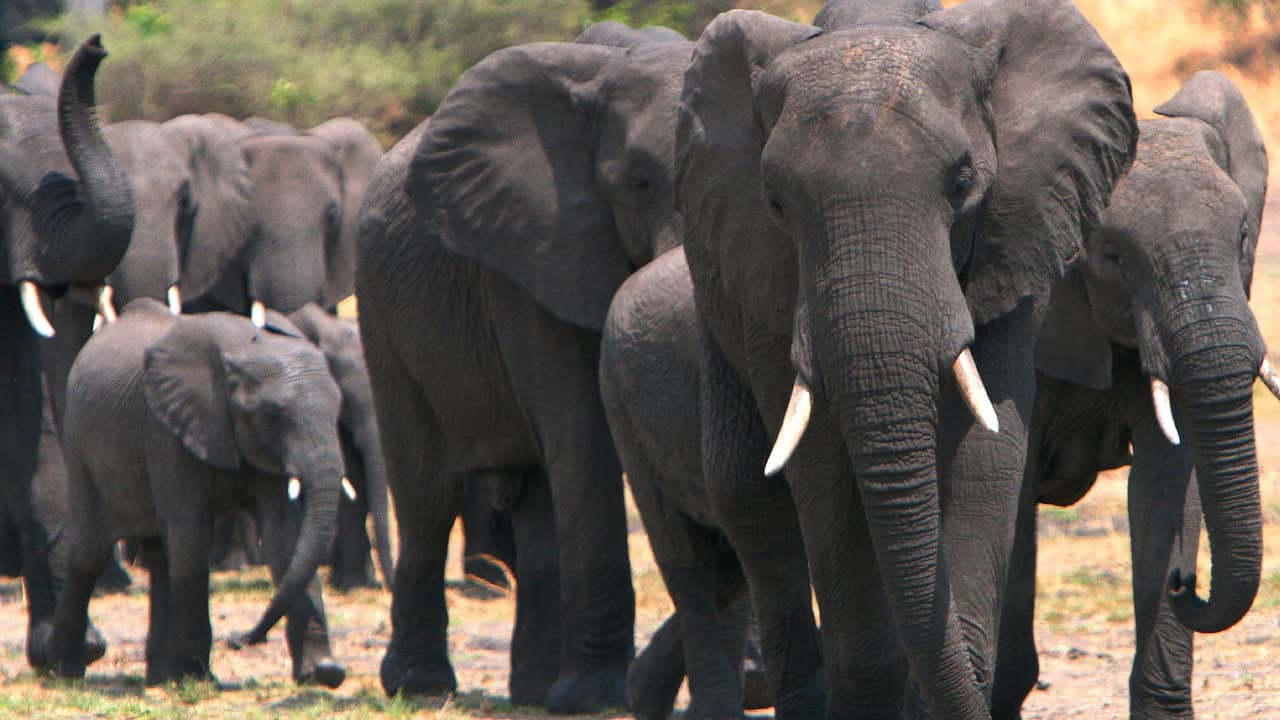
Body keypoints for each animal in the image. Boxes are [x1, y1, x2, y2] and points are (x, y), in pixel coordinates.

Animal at [41, 300, 347, 688]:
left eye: (339, 408)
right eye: (271, 415)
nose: (241, 640)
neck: (245, 349)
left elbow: (285, 540)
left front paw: (324, 673)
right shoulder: (167, 432)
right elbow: (191, 539)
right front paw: (197, 678)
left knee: (159, 557)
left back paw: (159, 678)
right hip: (80, 445)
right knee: (89, 552)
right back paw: (62, 671)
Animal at [356, 23, 692, 712]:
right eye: (640, 182)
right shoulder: (529, 255)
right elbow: (584, 439)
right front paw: (597, 697)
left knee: (537, 503)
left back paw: (536, 691)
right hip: (379, 311)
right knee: (427, 494)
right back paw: (421, 687)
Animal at [674, 2, 1136, 717]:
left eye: (964, 182)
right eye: (775, 201)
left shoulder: (1017, 233)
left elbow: (985, 449)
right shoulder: (767, 273)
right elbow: (822, 465)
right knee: (752, 503)